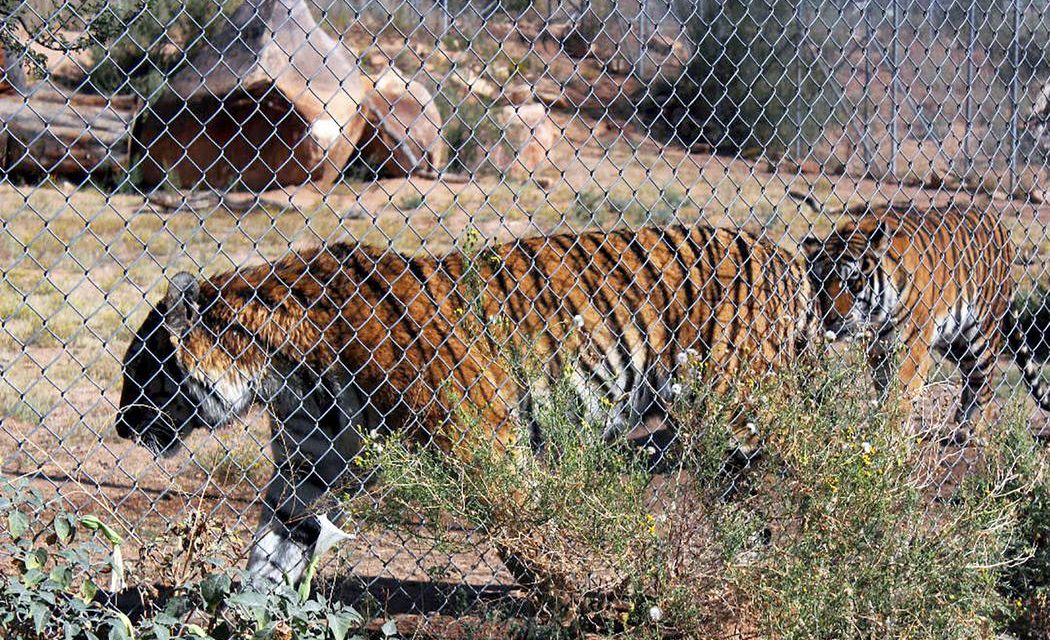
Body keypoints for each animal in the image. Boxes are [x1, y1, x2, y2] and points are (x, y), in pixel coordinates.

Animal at [112, 225, 818, 587]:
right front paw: (243, 612)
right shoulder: (308, 467)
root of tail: (782, 251)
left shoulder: (487, 448)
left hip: (741, 416)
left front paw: (574, 598)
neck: (282, 367)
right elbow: (274, 548)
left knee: (784, 492)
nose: (120, 428)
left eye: (139, 373)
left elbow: (526, 541)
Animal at [797, 194, 1045, 434]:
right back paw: (961, 420)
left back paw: (973, 429)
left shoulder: (911, 347)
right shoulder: (879, 349)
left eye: (851, 281)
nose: (829, 318)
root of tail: (998, 222)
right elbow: (884, 388)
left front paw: (890, 432)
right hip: (954, 342)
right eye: (820, 281)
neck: (877, 317)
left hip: (980, 334)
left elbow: (901, 393)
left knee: (983, 382)